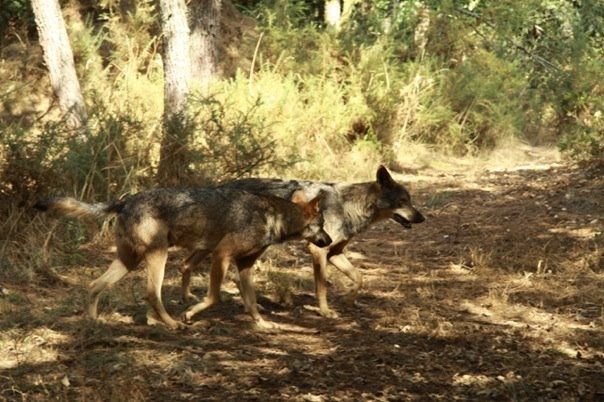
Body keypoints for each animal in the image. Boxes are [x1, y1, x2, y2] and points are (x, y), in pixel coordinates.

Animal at [34, 188, 330, 330]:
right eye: (323, 224)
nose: (328, 241)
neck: (275, 217)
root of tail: (125, 201)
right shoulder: (221, 255)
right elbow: (214, 297)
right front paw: (189, 313)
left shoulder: (244, 266)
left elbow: (252, 302)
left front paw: (262, 324)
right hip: (159, 256)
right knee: (151, 294)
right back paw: (173, 324)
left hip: (129, 261)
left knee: (95, 285)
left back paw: (94, 321)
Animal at [180, 165, 424, 318]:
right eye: (403, 201)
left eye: (410, 200)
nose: (422, 218)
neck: (349, 206)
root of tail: (220, 186)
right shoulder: (318, 251)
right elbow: (322, 288)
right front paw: (325, 312)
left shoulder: (335, 253)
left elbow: (359, 278)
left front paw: (349, 301)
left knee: (188, 263)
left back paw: (191, 298)